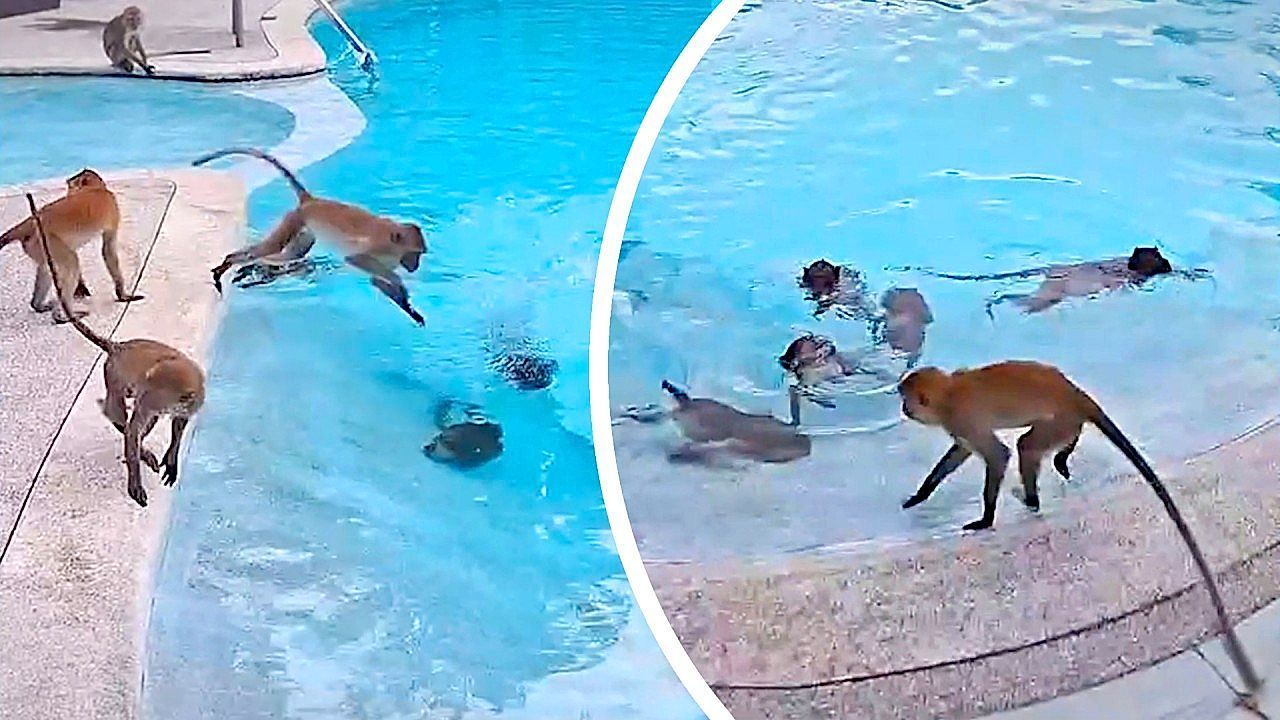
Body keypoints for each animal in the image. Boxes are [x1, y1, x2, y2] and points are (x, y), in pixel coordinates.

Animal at [1, 169, 143, 322]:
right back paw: (64, 316)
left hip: (36, 245)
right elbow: (108, 250)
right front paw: (122, 295)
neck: (95, 188)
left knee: (47, 268)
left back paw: (38, 305)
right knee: (71, 263)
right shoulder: (113, 209)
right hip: (46, 241)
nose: (69, 185)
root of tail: (29, 223)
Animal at [24, 194, 204, 508]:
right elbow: (134, 427)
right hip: (113, 372)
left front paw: (171, 457)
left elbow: (177, 425)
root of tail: (118, 346)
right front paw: (135, 478)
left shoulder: (185, 401)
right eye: (153, 383)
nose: (145, 391)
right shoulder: (151, 397)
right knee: (119, 413)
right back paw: (132, 440)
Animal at [193, 147, 428, 325]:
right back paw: (229, 262)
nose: (414, 266)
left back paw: (251, 265)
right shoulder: (376, 248)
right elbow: (356, 260)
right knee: (272, 247)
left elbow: (377, 281)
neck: (392, 242)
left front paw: (410, 309)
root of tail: (311, 201)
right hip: (294, 220)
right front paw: (400, 283)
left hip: (303, 230)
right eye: (414, 254)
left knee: (285, 255)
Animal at [897, 360, 1169, 531]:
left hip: (1060, 418)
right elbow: (962, 451)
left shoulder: (961, 418)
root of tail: (1073, 393)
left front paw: (987, 517)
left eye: (906, 400)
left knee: (1026, 446)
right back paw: (1064, 453)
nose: (904, 409)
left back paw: (1031, 501)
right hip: (1066, 420)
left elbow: (998, 455)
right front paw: (922, 493)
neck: (949, 393)